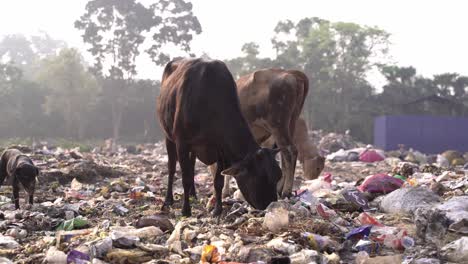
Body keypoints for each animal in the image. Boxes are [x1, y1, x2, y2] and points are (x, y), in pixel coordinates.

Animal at [157, 58, 282, 217]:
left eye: (278, 175)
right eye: (259, 178)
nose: (269, 205)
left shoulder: (221, 150)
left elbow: (218, 182)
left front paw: (217, 210)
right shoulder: (182, 143)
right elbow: (184, 178)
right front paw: (185, 210)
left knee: (191, 167)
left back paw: (193, 194)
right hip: (168, 137)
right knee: (172, 168)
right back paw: (168, 200)